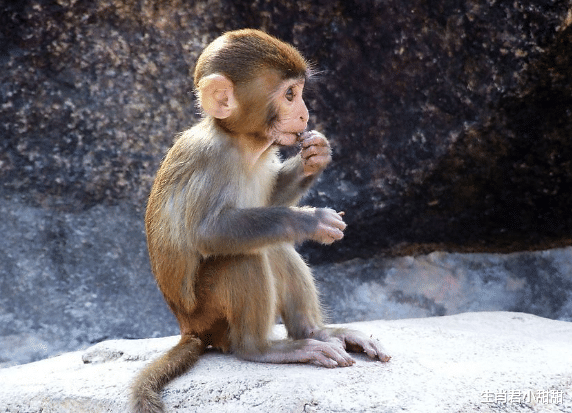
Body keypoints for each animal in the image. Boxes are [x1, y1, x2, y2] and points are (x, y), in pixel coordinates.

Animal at [131, 29, 388, 412]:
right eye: (290, 94)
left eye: (299, 92)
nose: (305, 115)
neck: (242, 143)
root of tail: (188, 327)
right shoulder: (212, 160)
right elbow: (209, 233)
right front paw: (312, 221)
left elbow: (270, 203)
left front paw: (316, 155)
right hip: (210, 315)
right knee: (242, 256)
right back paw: (264, 349)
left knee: (273, 244)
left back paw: (317, 333)